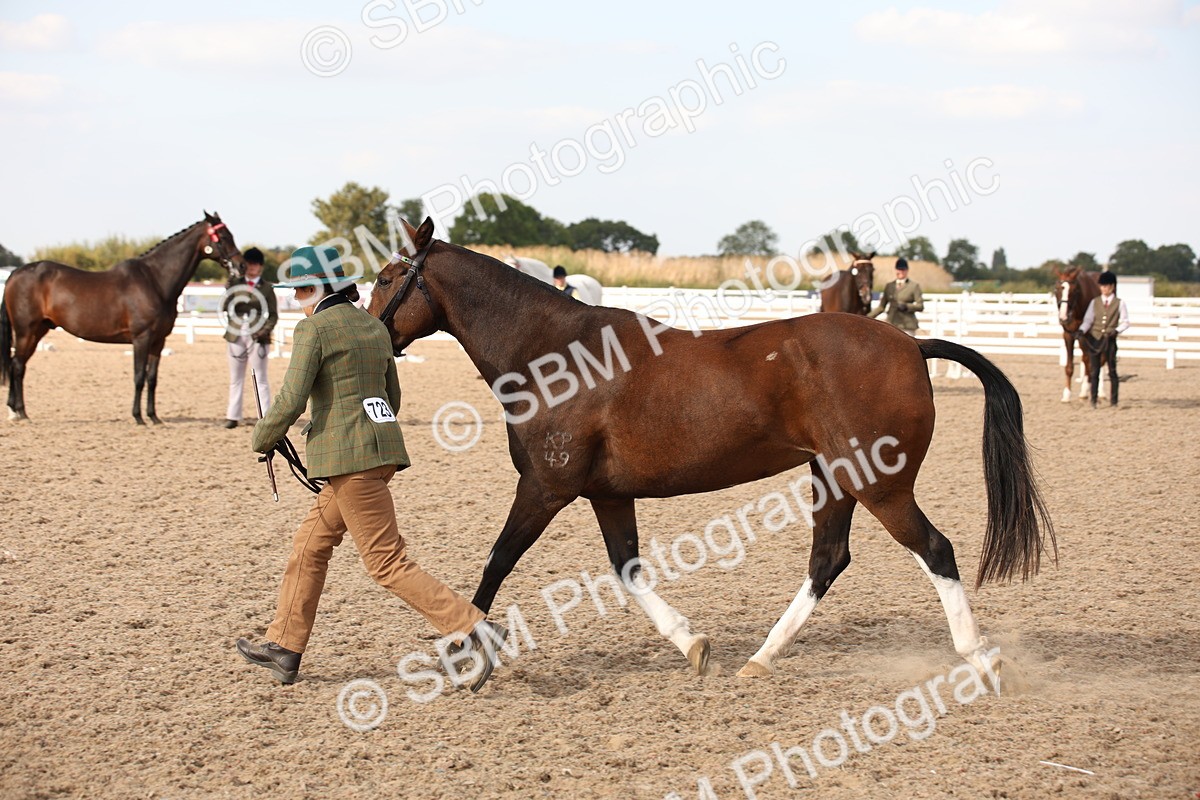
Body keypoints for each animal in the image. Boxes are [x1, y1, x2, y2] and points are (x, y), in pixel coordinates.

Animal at [1, 212, 244, 423]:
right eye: (224, 237)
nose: (241, 265)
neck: (155, 281)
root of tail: (15, 273)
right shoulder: (141, 338)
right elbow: (138, 377)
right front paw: (138, 417)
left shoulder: (158, 341)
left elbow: (152, 379)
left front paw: (153, 417)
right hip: (25, 331)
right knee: (18, 365)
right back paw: (20, 412)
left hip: (38, 331)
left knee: (17, 365)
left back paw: (15, 411)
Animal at [370, 218, 1055, 689]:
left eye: (384, 278)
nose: (368, 330)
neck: (553, 354)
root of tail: (910, 345)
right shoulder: (606, 494)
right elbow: (628, 570)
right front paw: (693, 646)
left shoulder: (545, 487)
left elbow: (497, 563)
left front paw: (465, 656)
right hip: (835, 477)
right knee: (828, 559)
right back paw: (761, 659)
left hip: (879, 484)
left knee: (934, 550)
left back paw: (980, 658)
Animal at [1053, 266, 1101, 403]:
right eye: (1056, 289)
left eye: (1075, 291)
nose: (1063, 317)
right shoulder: (1068, 335)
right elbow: (1069, 366)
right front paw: (1066, 394)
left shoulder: (1085, 335)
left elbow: (1087, 360)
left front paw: (1084, 390)